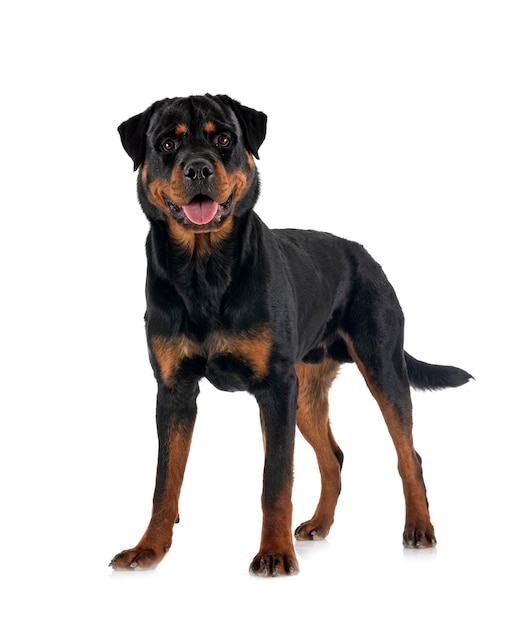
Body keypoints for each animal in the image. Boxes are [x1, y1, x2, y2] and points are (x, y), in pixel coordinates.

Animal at [109, 94, 472, 576]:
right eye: (167, 143)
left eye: (224, 139)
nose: (198, 168)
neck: (204, 270)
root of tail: (366, 255)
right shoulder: (175, 390)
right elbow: (164, 482)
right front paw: (149, 548)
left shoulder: (275, 387)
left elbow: (276, 481)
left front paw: (275, 553)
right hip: (306, 392)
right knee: (333, 458)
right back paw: (319, 524)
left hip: (380, 368)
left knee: (407, 455)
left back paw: (419, 527)